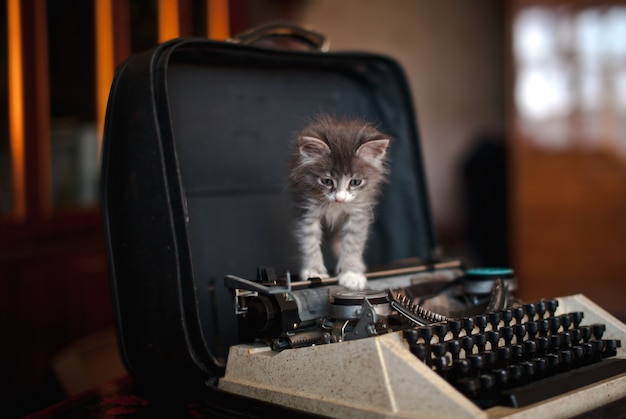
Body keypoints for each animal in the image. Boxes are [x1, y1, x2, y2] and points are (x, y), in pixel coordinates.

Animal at [288, 115, 390, 292]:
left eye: (355, 182)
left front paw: (351, 274)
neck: (336, 206)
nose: (340, 198)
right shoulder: (307, 210)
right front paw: (314, 272)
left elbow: (352, 244)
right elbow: (309, 243)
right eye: (327, 181)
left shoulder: (358, 213)